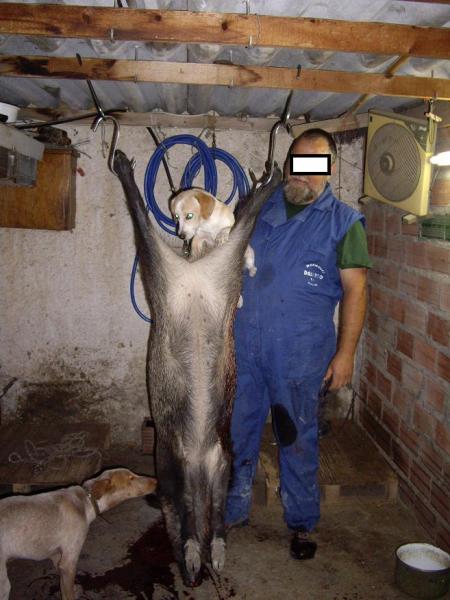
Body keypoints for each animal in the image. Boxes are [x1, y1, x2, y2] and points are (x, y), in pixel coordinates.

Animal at [0, 468, 156, 600]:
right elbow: (69, 594)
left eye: (133, 474)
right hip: (4, 585)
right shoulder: (69, 562)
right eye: (131, 478)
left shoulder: (57, 558)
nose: (156, 480)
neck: (86, 501)